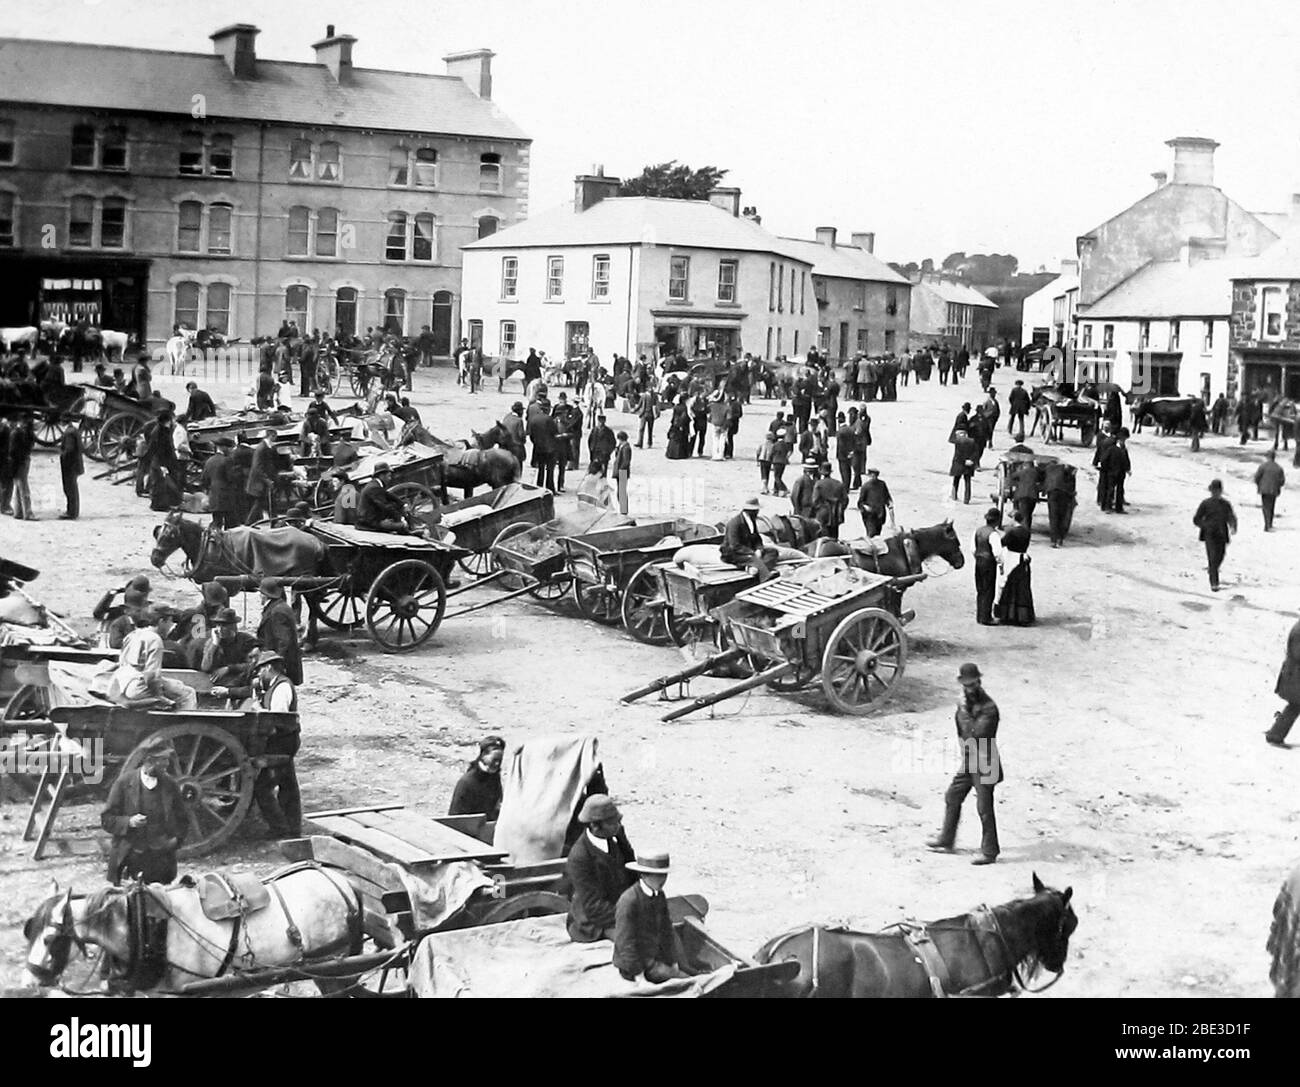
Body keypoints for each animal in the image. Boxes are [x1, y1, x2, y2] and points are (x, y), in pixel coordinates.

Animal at [24, 868, 366, 993]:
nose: (30, 981)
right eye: (28, 933)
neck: (145, 926)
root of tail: (342, 882)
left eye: (50, 939)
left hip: (336, 969)